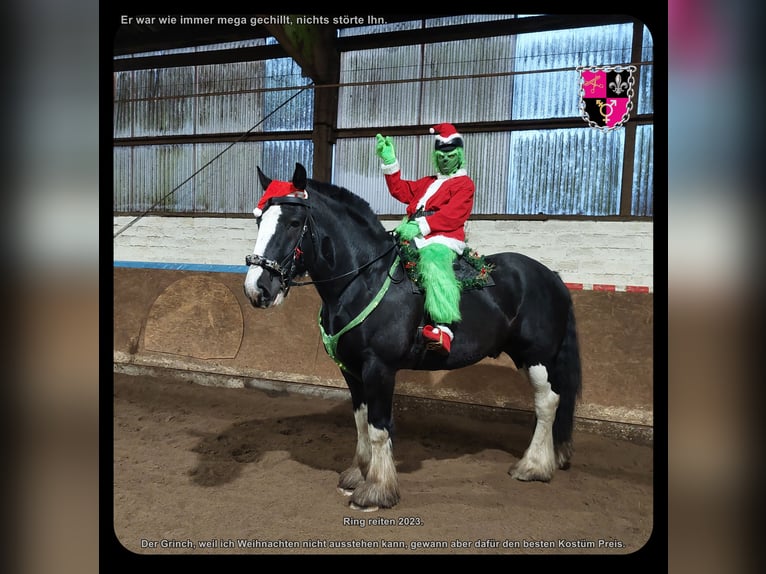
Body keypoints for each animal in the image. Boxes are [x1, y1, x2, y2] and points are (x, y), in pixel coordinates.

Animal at [246, 163, 584, 512]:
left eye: (293, 223)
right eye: (259, 220)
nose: (258, 289)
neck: (363, 279)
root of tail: (551, 276)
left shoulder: (379, 368)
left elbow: (378, 427)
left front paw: (377, 490)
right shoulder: (351, 370)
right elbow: (361, 422)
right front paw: (359, 474)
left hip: (538, 356)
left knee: (548, 402)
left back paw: (532, 467)